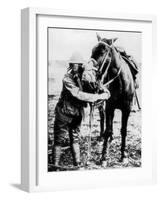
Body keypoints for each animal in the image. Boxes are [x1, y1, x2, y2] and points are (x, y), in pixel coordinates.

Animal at [82, 34, 136, 166]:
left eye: (102, 52)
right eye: (92, 50)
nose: (87, 76)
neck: (120, 83)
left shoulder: (127, 109)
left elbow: (123, 130)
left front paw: (123, 155)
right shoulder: (110, 107)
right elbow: (108, 129)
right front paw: (104, 157)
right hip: (102, 104)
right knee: (103, 119)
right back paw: (102, 137)